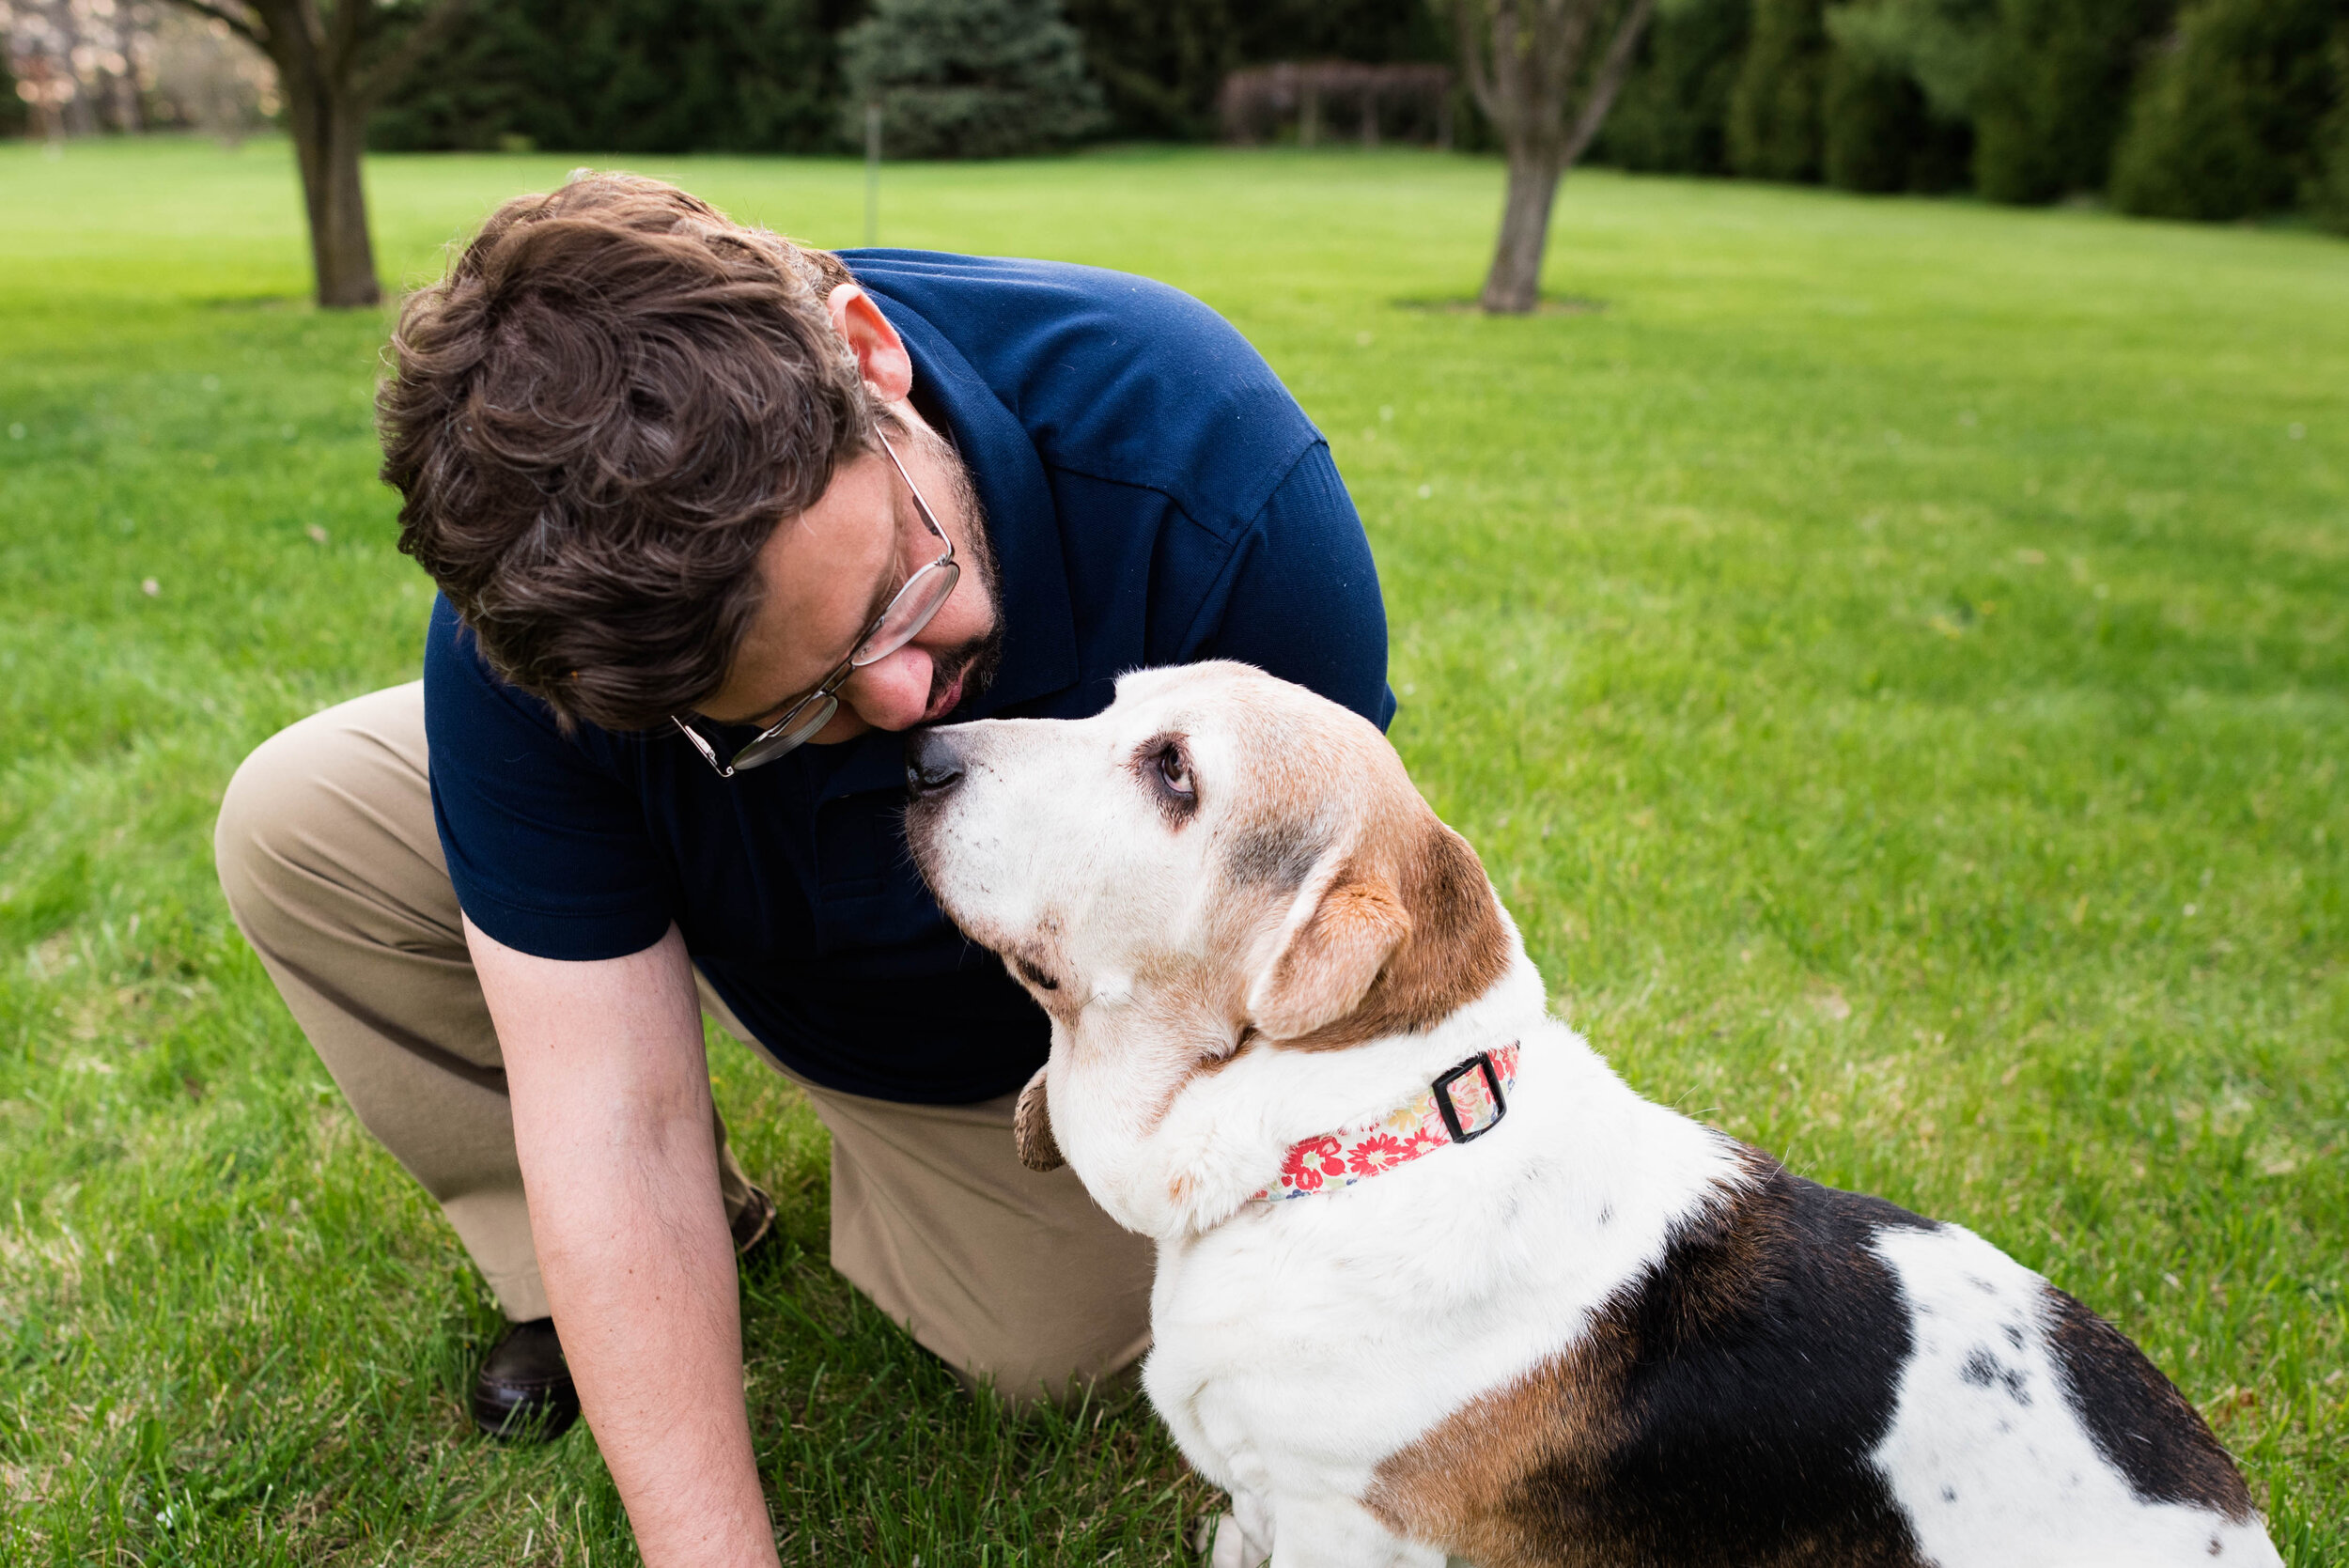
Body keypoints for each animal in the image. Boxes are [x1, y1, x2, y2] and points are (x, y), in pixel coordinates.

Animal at [897, 666, 2274, 1568]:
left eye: (1173, 772)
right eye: (1113, 703)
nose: (916, 755)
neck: (1356, 1139)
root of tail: (2237, 1520)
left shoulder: (1344, 1525)